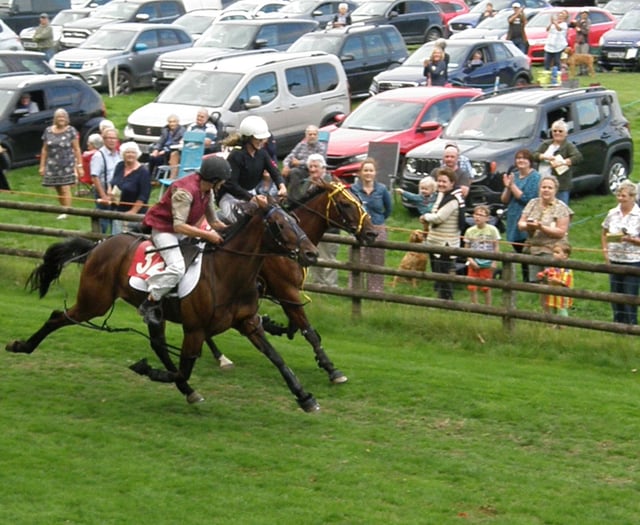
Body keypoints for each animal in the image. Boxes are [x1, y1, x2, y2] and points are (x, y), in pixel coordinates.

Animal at [6, 200, 322, 410]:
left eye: (296, 220)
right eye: (280, 225)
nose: (311, 253)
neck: (226, 272)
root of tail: (98, 246)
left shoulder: (248, 322)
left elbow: (276, 357)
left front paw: (304, 396)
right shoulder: (195, 330)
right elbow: (183, 368)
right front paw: (147, 370)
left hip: (149, 313)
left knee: (156, 343)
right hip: (94, 301)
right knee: (57, 316)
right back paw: (21, 345)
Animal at [205, 182, 378, 382]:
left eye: (359, 201)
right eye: (345, 204)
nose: (372, 233)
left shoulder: (287, 295)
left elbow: (295, 325)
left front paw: (272, 325)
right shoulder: (286, 290)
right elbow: (308, 331)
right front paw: (331, 369)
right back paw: (221, 357)